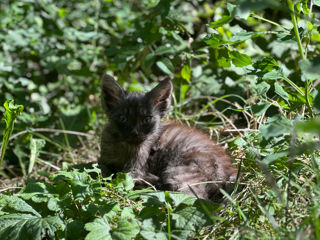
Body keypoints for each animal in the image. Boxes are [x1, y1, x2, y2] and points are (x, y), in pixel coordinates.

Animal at [100, 75, 238, 201]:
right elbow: (100, 170)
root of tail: (231, 170)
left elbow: (123, 178)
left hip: (179, 174)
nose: (134, 133)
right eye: (123, 118)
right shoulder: (105, 160)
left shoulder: (135, 169)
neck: (124, 147)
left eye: (146, 119)